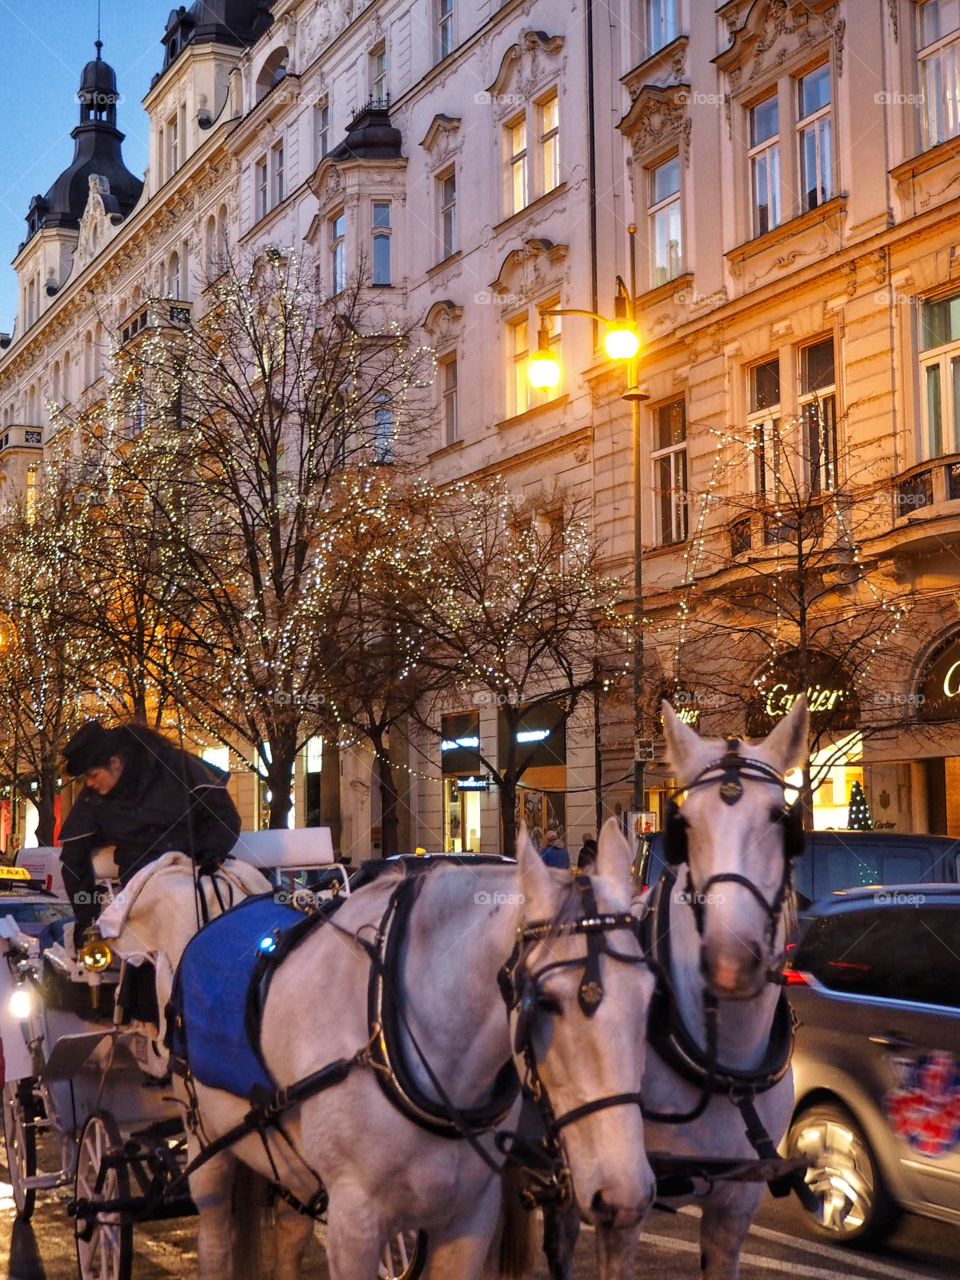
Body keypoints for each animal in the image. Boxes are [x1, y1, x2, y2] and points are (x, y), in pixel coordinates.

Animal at [108, 819, 660, 1280]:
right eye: (544, 1001)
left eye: (651, 994)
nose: (626, 1194)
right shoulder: (354, 1222)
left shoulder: (469, 1220)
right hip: (207, 1149)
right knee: (216, 1241)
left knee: (289, 1231)